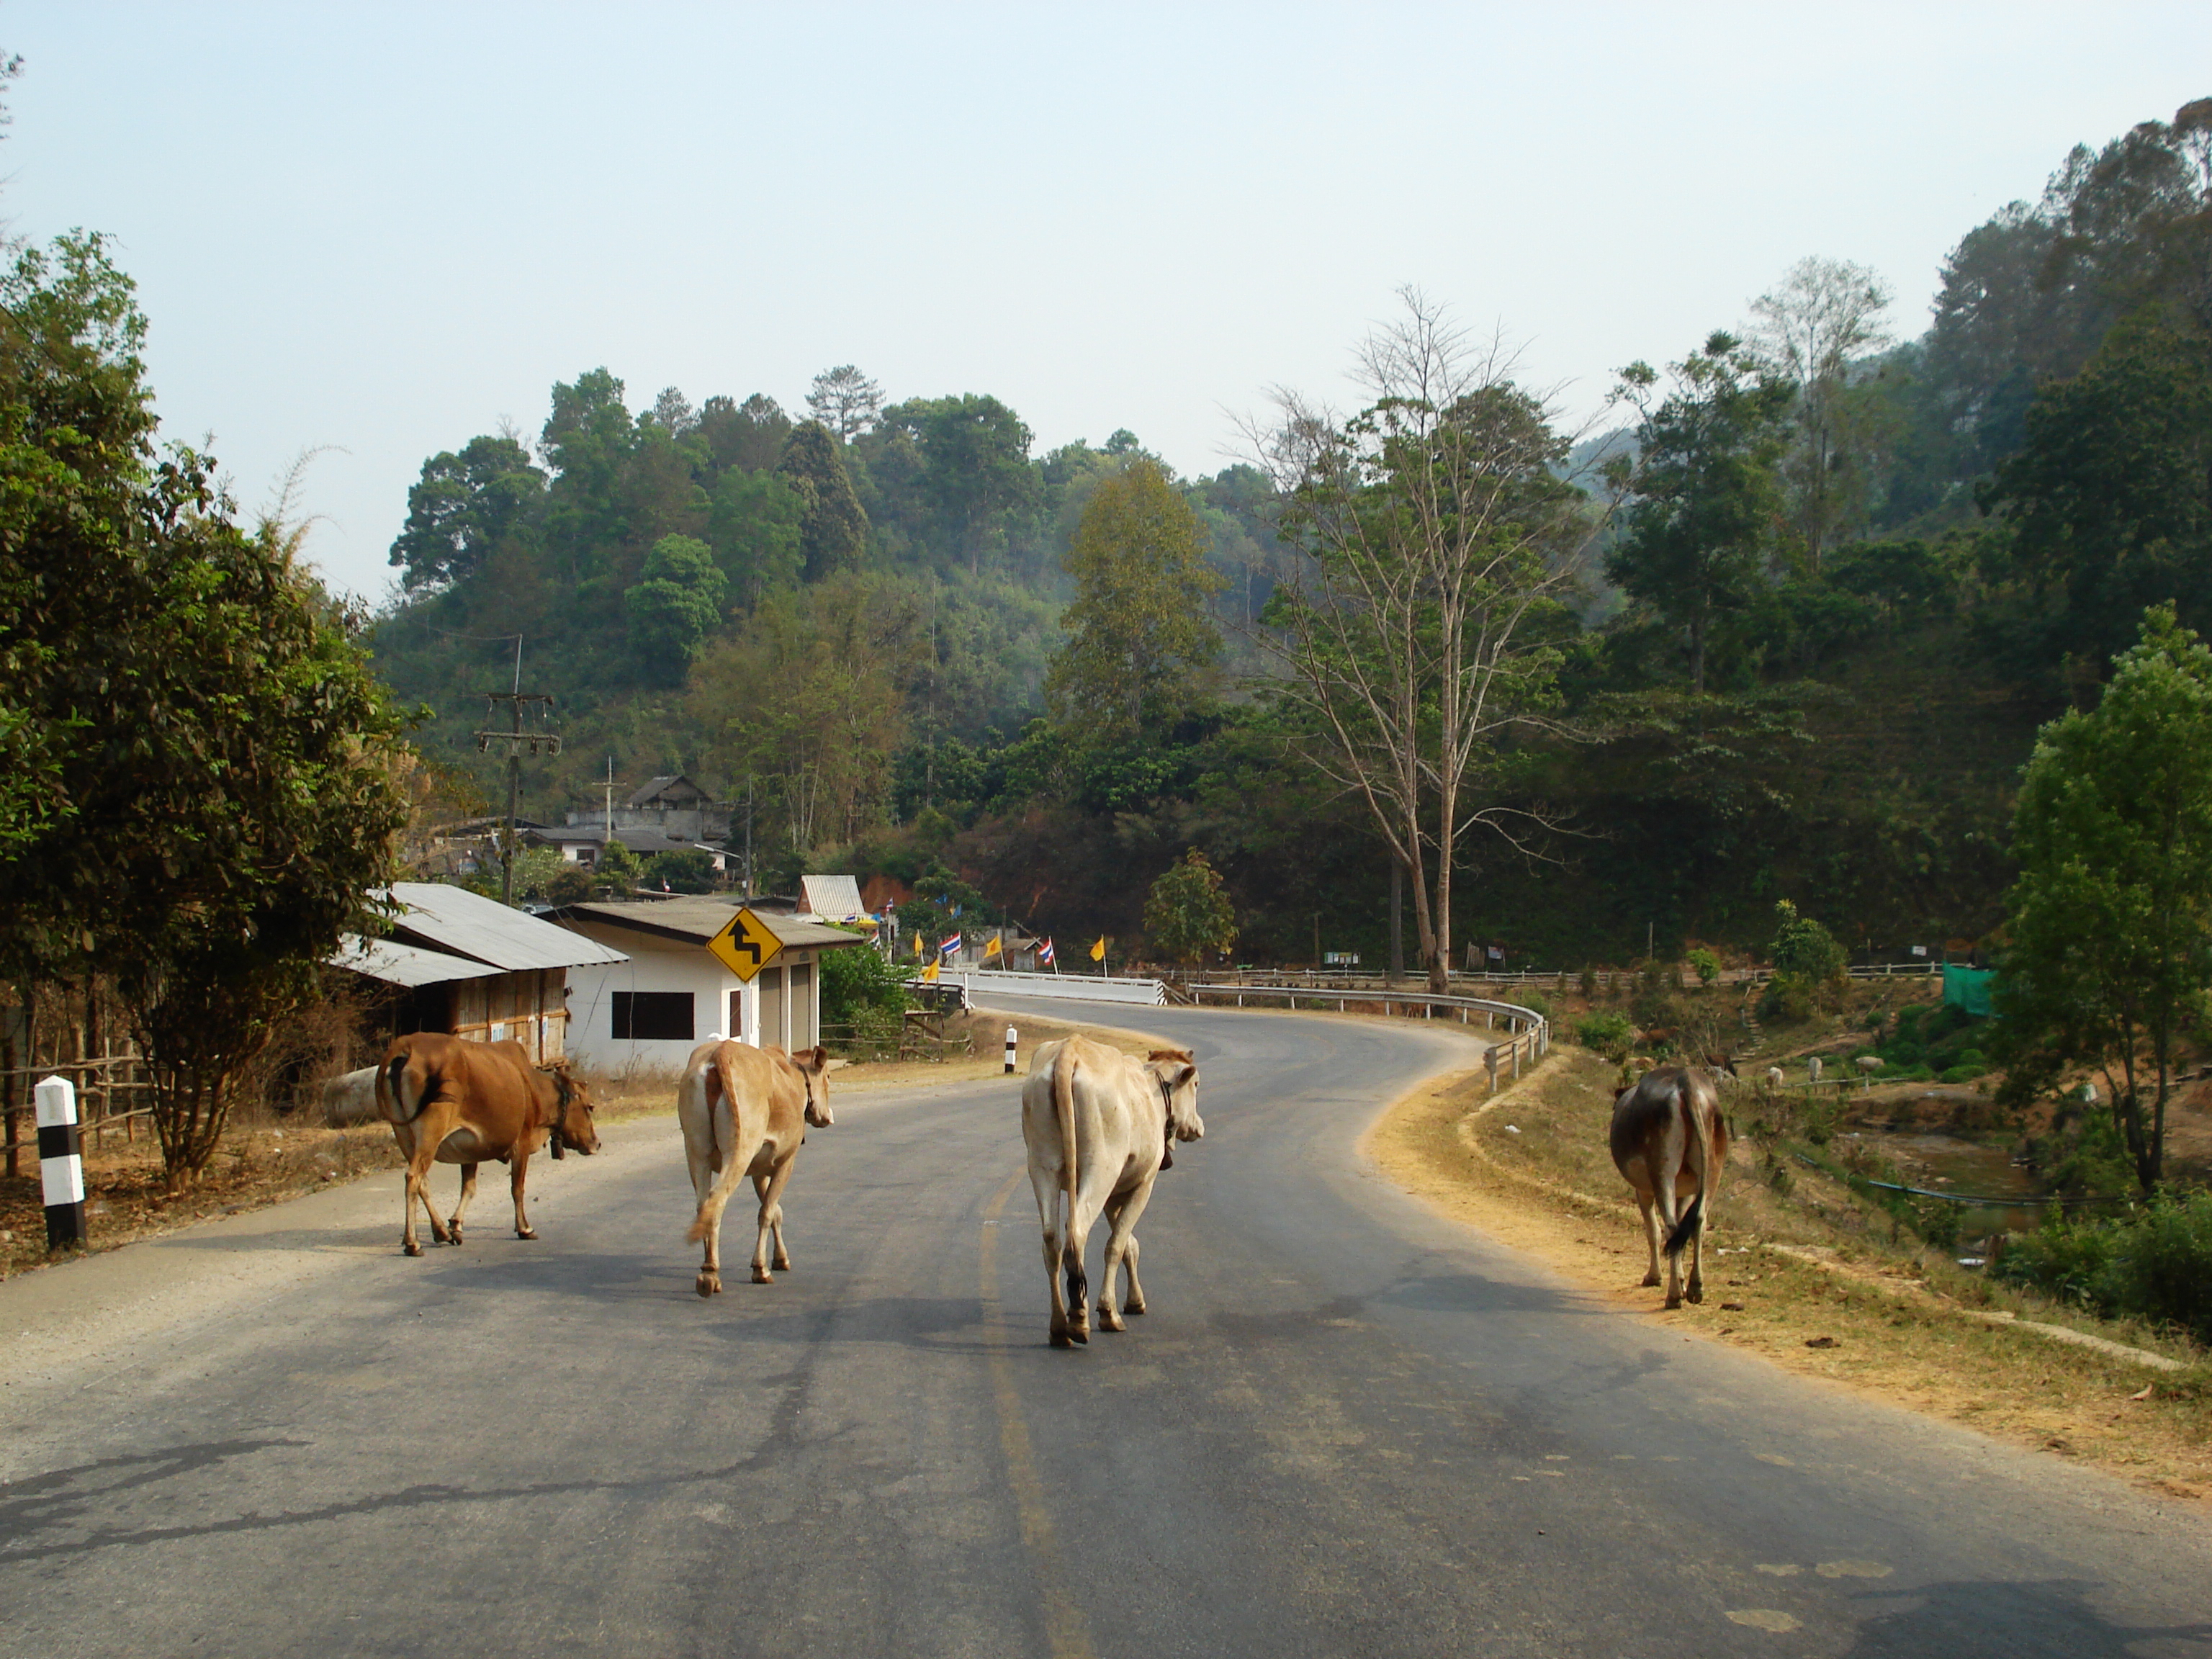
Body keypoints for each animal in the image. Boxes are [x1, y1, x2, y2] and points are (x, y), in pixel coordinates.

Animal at [378, 1035, 601, 1256]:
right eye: (590, 1107)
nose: (596, 1143)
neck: (533, 1089)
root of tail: (406, 1045)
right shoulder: (521, 1142)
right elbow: (517, 1188)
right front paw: (524, 1228)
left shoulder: (468, 1150)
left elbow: (469, 1188)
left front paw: (455, 1226)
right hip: (431, 1131)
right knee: (413, 1177)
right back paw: (413, 1243)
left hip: (405, 1136)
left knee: (422, 1182)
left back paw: (441, 1231)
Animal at [672, 1039, 832, 1300]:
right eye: (828, 1076)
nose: (827, 1117)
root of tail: (721, 1051)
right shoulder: (785, 1161)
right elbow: (767, 1212)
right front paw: (761, 1269)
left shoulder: (759, 1170)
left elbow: (775, 1211)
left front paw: (780, 1258)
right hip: (740, 1151)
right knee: (718, 1201)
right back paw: (711, 1274)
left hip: (695, 1152)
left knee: (704, 1206)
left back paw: (708, 1270)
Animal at [1022, 1039, 1203, 1354]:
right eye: (1196, 1084)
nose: (1198, 1126)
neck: (1153, 1092)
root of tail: (1071, 1049)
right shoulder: (1143, 1184)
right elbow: (1117, 1245)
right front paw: (1110, 1311)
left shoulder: (1114, 1194)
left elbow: (1129, 1244)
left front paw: (1134, 1300)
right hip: (1101, 1167)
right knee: (1077, 1233)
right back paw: (1080, 1321)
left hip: (1043, 1166)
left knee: (1052, 1241)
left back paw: (1059, 1328)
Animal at [1610, 1066, 1725, 1309]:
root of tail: (1686, 1082)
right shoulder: (1686, 1192)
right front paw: (1681, 1279)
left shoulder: (1643, 1190)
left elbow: (1653, 1231)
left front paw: (1655, 1277)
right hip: (1713, 1170)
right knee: (1699, 1223)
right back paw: (1695, 1287)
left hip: (1662, 1172)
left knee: (1671, 1226)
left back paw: (1673, 1295)